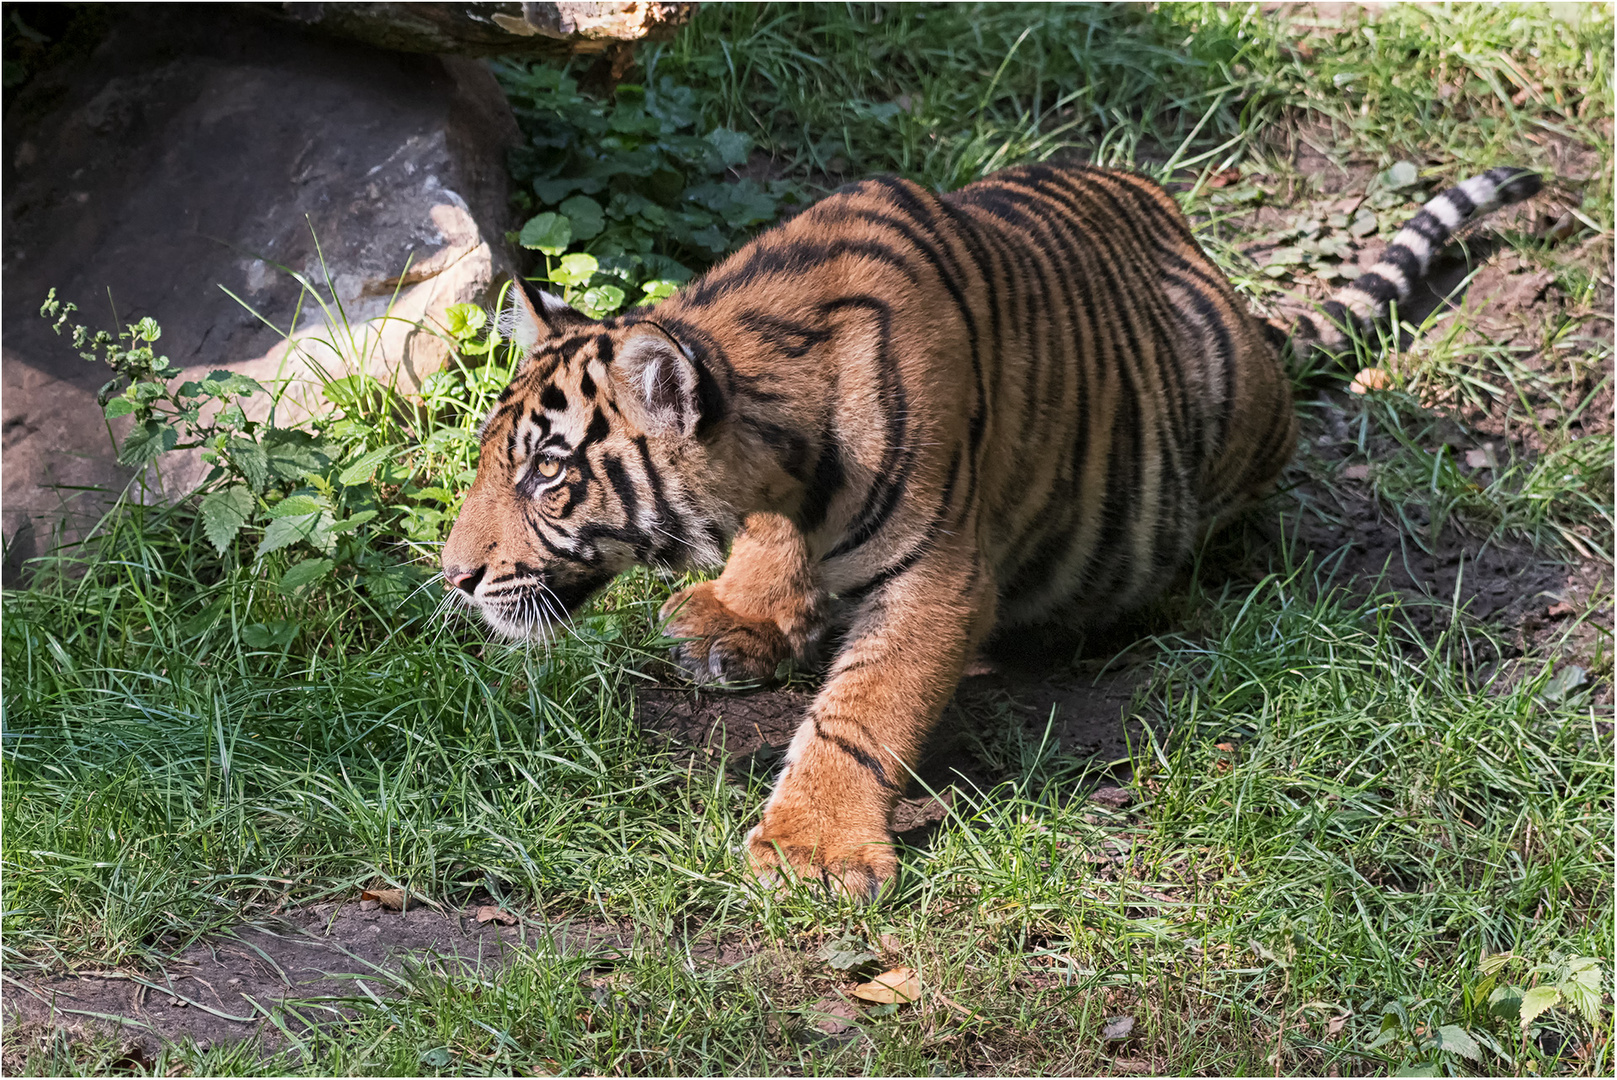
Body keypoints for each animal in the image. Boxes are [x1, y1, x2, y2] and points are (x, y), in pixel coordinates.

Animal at [439, 160, 1539, 898]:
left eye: (546, 475)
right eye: (496, 458)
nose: (452, 578)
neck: (780, 448)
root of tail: (1226, 287)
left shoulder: (936, 573)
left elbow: (859, 712)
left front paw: (813, 850)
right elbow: (774, 555)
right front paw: (739, 617)